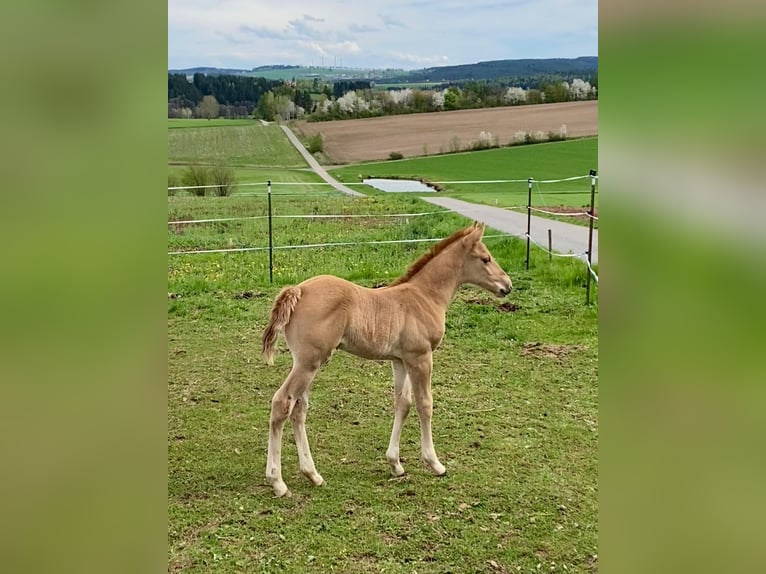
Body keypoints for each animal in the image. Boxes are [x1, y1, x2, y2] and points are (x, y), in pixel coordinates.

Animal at [262, 222, 512, 497]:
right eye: (486, 258)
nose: (507, 285)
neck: (425, 296)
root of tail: (298, 289)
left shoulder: (401, 360)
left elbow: (403, 403)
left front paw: (395, 464)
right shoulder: (421, 358)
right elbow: (425, 404)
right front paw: (435, 463)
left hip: (308, 363)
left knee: (299, 408)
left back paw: (313, 475)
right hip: (309, 363)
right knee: (282, 403)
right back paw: (278, 482)